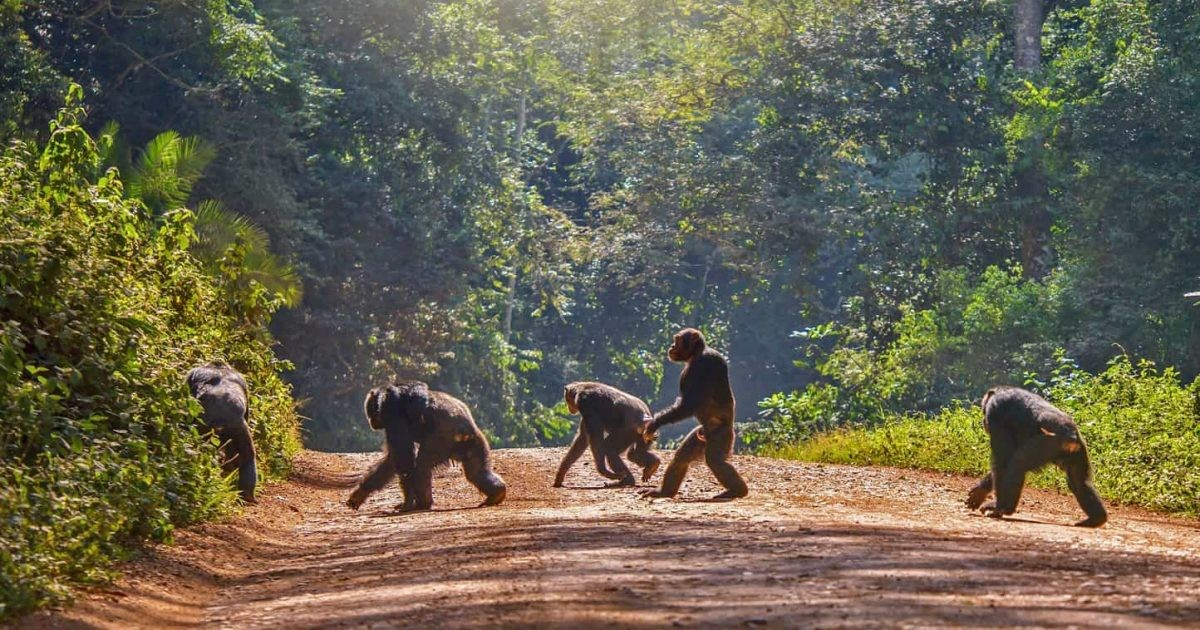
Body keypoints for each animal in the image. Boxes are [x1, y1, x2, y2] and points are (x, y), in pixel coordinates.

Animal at [345, 379, 504, 511]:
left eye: (370, 412)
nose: (371, 421)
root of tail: (466, 430)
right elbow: (391, 460)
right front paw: (360, 493)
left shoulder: (393, 416)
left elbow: (404, 457)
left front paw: (407, 503)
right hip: (474, 443)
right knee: (476, 472)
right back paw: (497, 493)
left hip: (442, 440)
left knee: (422, 465)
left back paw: (422, 504)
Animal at [643, 326, 744, 499]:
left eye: (677, 340)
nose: (671, 346)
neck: (695, 355)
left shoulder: (703, 365)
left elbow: (689, 403)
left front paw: (654, 424)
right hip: (700, 435)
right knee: (681, 458)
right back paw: (664, 492)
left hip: (722, 435)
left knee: (716, 461)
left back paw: (738, 490)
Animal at [964, 386, 1104, 528]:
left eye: (984, 411)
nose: (983, 421)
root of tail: (1072, 437)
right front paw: (979, 492)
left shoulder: (995, 413)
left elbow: (1003, 459)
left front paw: (991, 502)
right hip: (1078, 451)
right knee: (1079, 482)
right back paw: (1096, 519)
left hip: (1047, 444)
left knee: (1018, 463)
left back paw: (1002, 507)